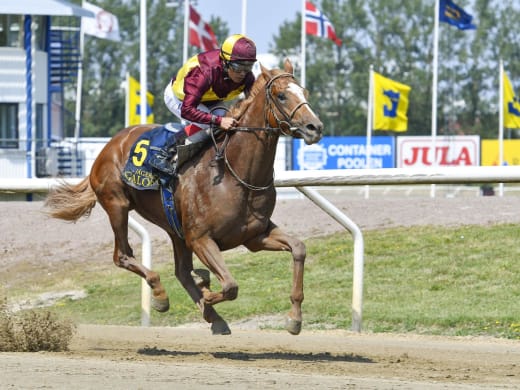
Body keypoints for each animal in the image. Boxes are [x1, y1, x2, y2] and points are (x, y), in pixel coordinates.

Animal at [44, 59, 322, 336]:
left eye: (305, 92)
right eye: (282, 95)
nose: (315, 127)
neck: (234, 172)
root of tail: (109, 146)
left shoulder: (254, 235)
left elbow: (299, 248)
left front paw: (294, 318)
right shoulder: (201, 238)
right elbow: (230, 286)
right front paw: (206, 290)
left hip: (175, 228)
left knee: (181, 271)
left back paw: (212, 315)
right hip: (117, 204)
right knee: (123, 255)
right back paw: (161, 295)